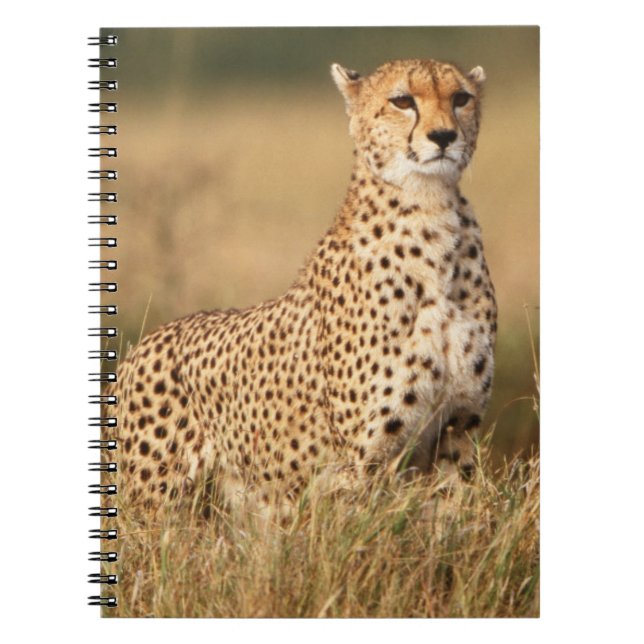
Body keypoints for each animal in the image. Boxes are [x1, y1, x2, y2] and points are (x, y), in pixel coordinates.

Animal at [106, 58, 497, 519]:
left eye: (461, 98)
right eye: (402, 101)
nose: (444, 136)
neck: (430, 210)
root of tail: (139, 348)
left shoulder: (457, 432)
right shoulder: (363, 460)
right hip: (155, 503)